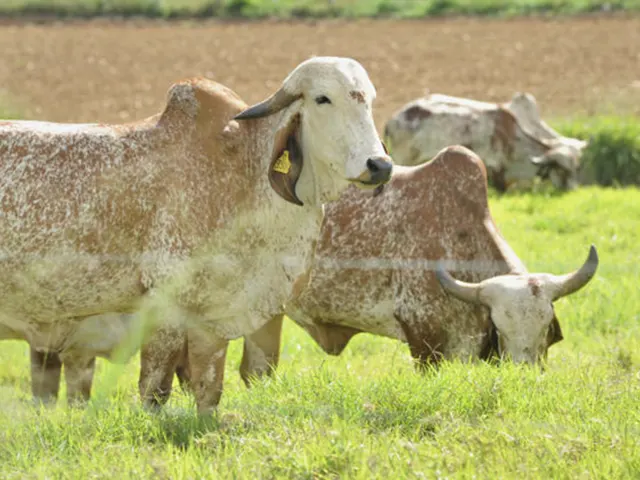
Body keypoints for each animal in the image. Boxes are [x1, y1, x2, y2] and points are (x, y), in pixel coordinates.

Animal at [0, 56, 392, 414]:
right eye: (323, 98)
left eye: (370, 100)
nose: (380, 165)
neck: (244, 172)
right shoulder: (164, 304)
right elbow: (155, 389)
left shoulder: (213, 319)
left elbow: (208, 389)